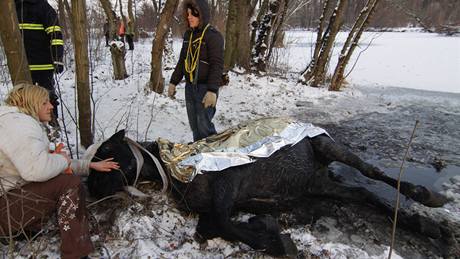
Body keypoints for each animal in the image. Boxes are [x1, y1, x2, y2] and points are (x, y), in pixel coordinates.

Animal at [86, 120, 450, 258]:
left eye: (105, 153)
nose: (88, 189)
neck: (176, 166)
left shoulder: (229, 183)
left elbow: (224, 223)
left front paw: (277, 240)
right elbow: (211, 226)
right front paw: (266, 228)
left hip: (329, 148)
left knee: (373, 173)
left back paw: (428, 200)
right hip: (317, 185)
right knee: (363, 194)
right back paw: (423, 225)